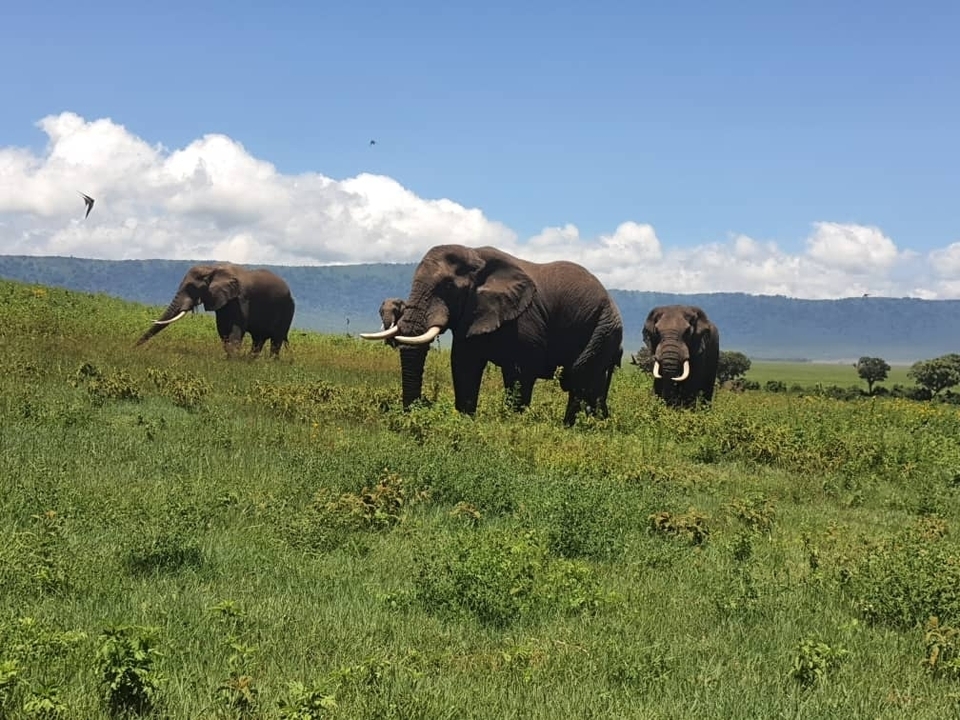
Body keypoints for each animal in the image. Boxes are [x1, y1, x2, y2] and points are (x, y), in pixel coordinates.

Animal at [135, 263, 295, 358]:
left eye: (191, 288)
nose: (133, 347)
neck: (212, 268)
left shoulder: (241, 299)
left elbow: (237, 328)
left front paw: (233, 360)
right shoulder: (222, 300)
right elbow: (222, 328)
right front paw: (230, 357)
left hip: (287, 309)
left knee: (276, 339)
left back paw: (270, 362)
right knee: (259, 339)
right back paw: (252, 360)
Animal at [360, 244, 623, 426]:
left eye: (448, 287)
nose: (417, 409)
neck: (475, 255)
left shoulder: (525, 319)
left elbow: (521, 372)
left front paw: (515, 424)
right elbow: (464, 365)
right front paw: (465, 421)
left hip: (603, 328)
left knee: (577, 378)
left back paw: (571, 427)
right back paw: (597, 423)